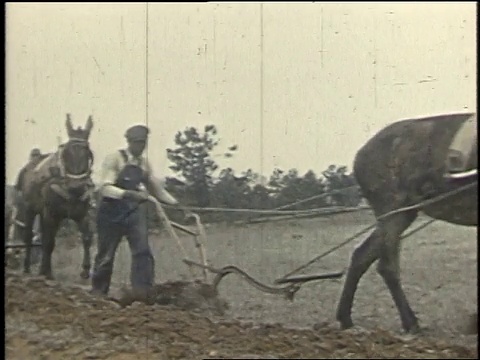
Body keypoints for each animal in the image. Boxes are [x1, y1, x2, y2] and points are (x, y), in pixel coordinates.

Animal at [21, 114, 95, 280]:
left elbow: (87, 238)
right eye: (66, 153)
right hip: (30, 209)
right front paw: (47, 272)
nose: (76, 186)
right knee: (29, 235)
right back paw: (27, 267)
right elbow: (49, 242)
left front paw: (85, 270)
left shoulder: (82, 214)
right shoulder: (51, 214)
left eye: (88, 153)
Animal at [336, 112, 478, 332]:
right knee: (387, 266)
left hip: (402, 214)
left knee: (361, 256)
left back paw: (345, 319)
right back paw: (410, 322)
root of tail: (360, 155)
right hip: (392, 211)